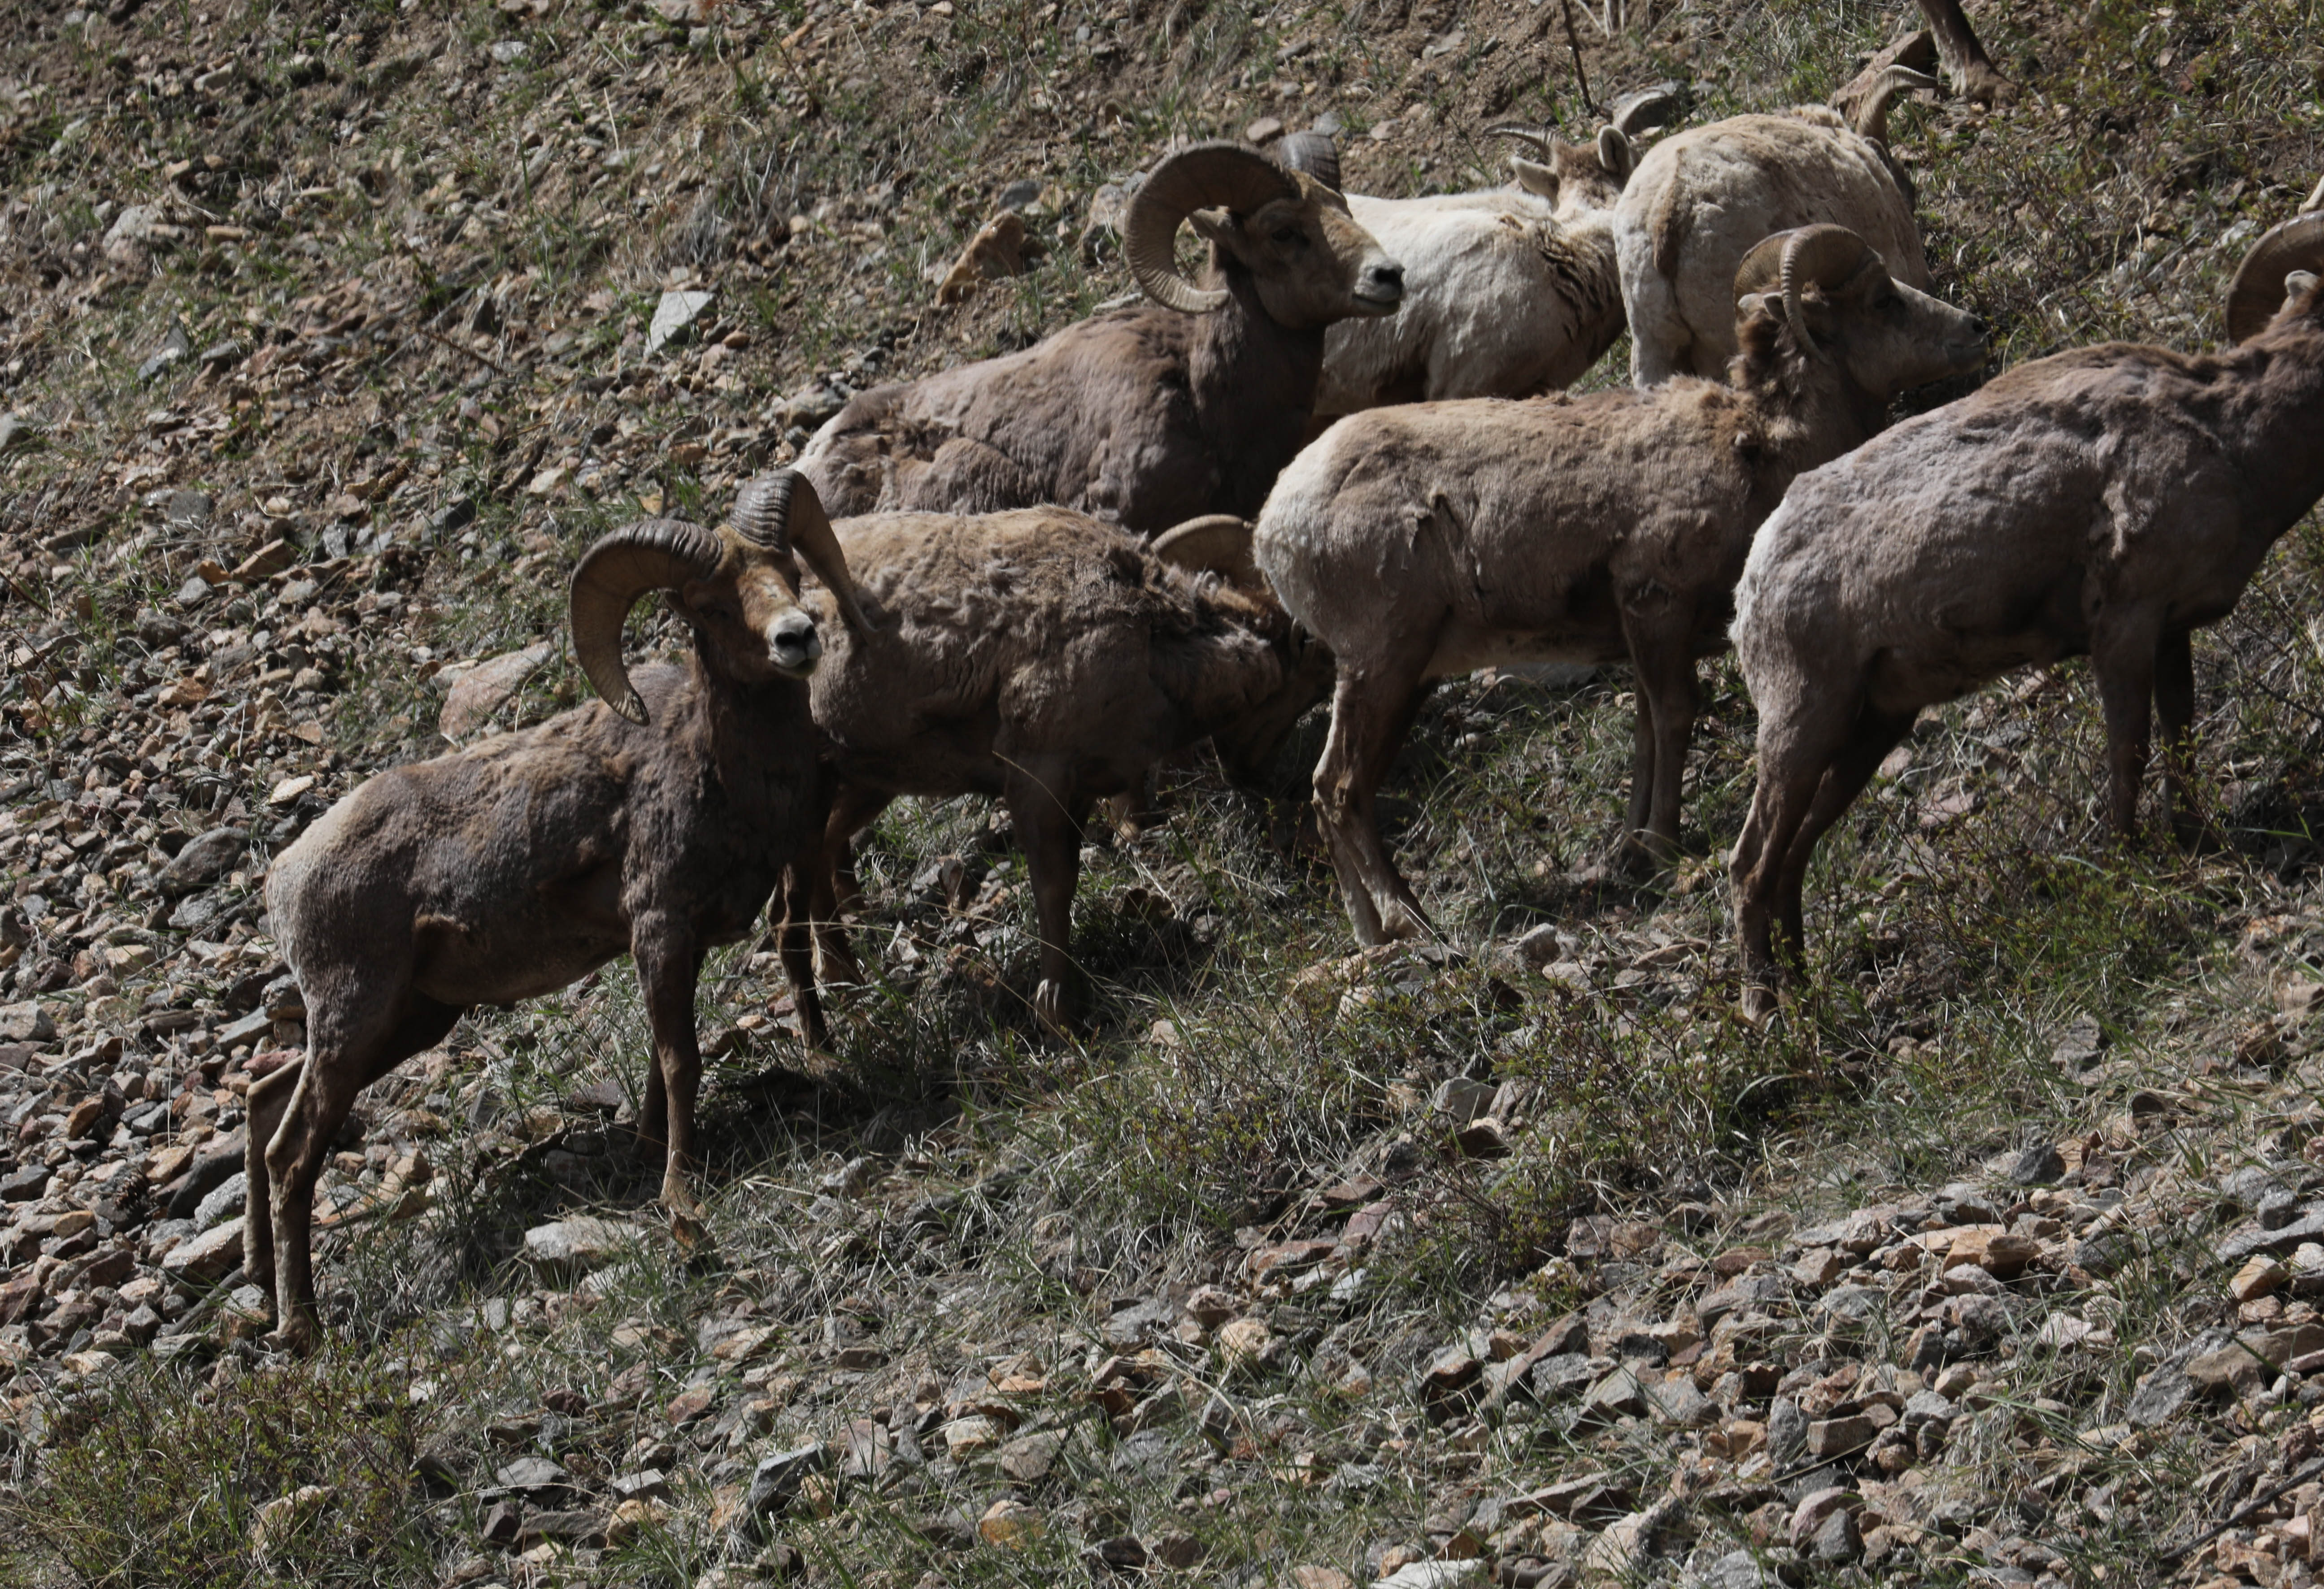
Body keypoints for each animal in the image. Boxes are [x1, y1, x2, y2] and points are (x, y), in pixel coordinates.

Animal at [245, 475, 874, 1351]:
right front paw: (682, 1200)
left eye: (786, 571)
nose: (797, 639)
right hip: (355, 1018)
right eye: (710, 606)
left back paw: (257, 1287)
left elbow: (665, 1062)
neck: (722, 769)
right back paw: (300, 1325)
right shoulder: (660, 927)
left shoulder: (680, 943)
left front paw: (650, 1153)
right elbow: (681, 1060)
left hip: (409, 1021)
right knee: (291, 1151)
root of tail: (283, 877)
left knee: (262, 1099)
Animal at [773, 480, 1333, 1027]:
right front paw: (1055, 1012)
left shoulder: (1078, 792)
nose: (1255, 776)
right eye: (1308, 681)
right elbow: (1053, 888)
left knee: (824, 852)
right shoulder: (1036, 781)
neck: (1149, 635)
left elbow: (1066, 881)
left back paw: (843, 979)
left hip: (866, 783)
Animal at [1253, 225, 1987, 946]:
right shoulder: (1657, 605)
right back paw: (1417, 929)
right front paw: (1662, 844)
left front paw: (1630, 848)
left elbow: (1644, 731)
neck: (1758, 446)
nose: (1973, 328)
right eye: (1881, 301)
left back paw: (1375, 937)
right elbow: (1674, 715)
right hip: (1382, 665)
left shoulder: (1644, 637)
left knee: (1340, 795)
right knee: (1338, 788)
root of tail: (1273, 525)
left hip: (1406, 676)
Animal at [1727, 204, 2324, 1021]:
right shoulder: (2124, 627)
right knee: (1752, 862)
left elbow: (2179, 737)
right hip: (1802, 723)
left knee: (1792, 857)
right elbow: (2129, 749)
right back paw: (1766, 1010)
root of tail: (1754, 573)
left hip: (1870, 728)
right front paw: (2128, 866)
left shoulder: (2170, 630)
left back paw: (1810, 996)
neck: (2228, 439)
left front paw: (2194, 841)